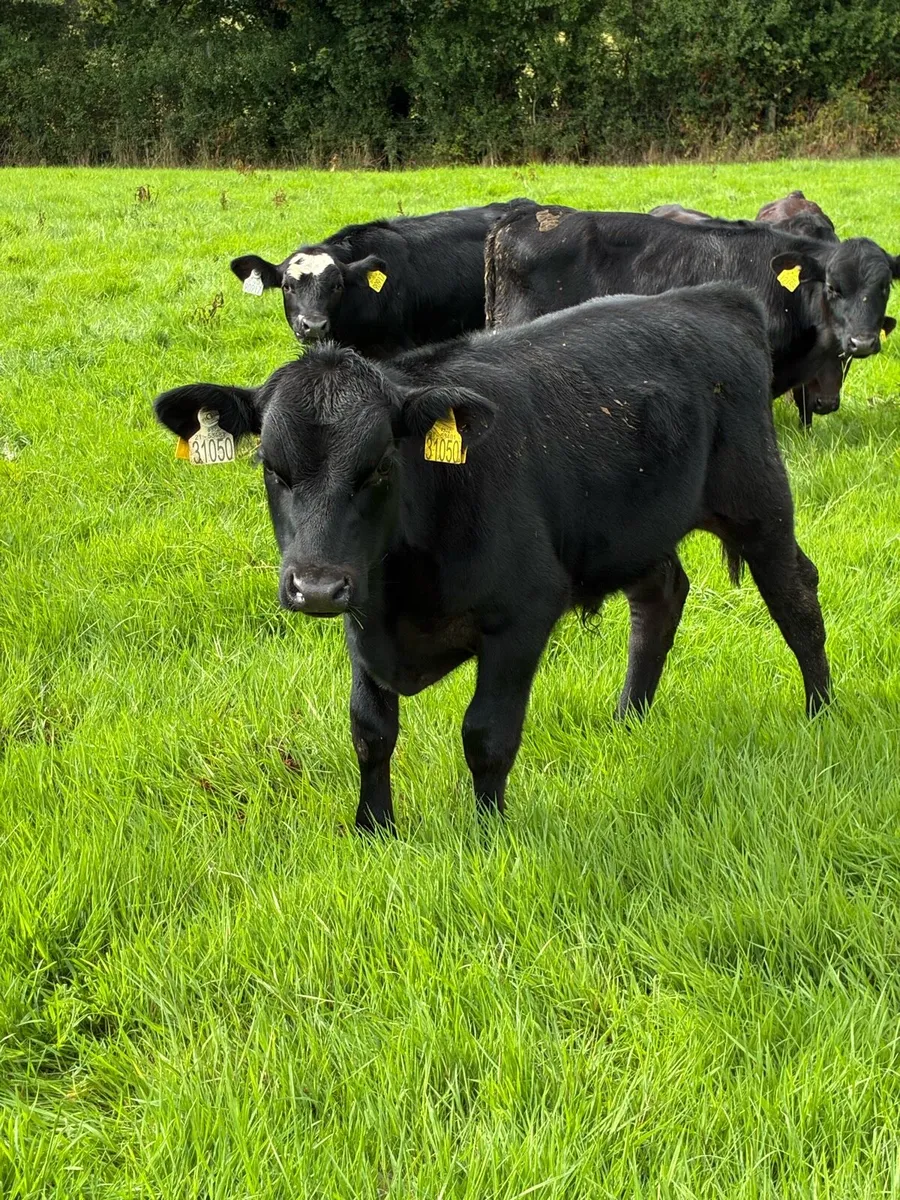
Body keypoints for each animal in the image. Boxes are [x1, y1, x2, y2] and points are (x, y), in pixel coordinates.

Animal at [154, 283, 830, 832]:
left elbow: (487, 734)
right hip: (634, 527)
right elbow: (370, 731)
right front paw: (373, 827)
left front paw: (487, 831)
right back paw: (627, 719)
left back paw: (820, 712)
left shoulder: (522, 615)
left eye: (379, 466)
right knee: (660, 599)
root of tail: (716, 297)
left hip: (759, 504)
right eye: (272, 467)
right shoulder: (361, 614)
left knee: (796, 597)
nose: (316, 587)